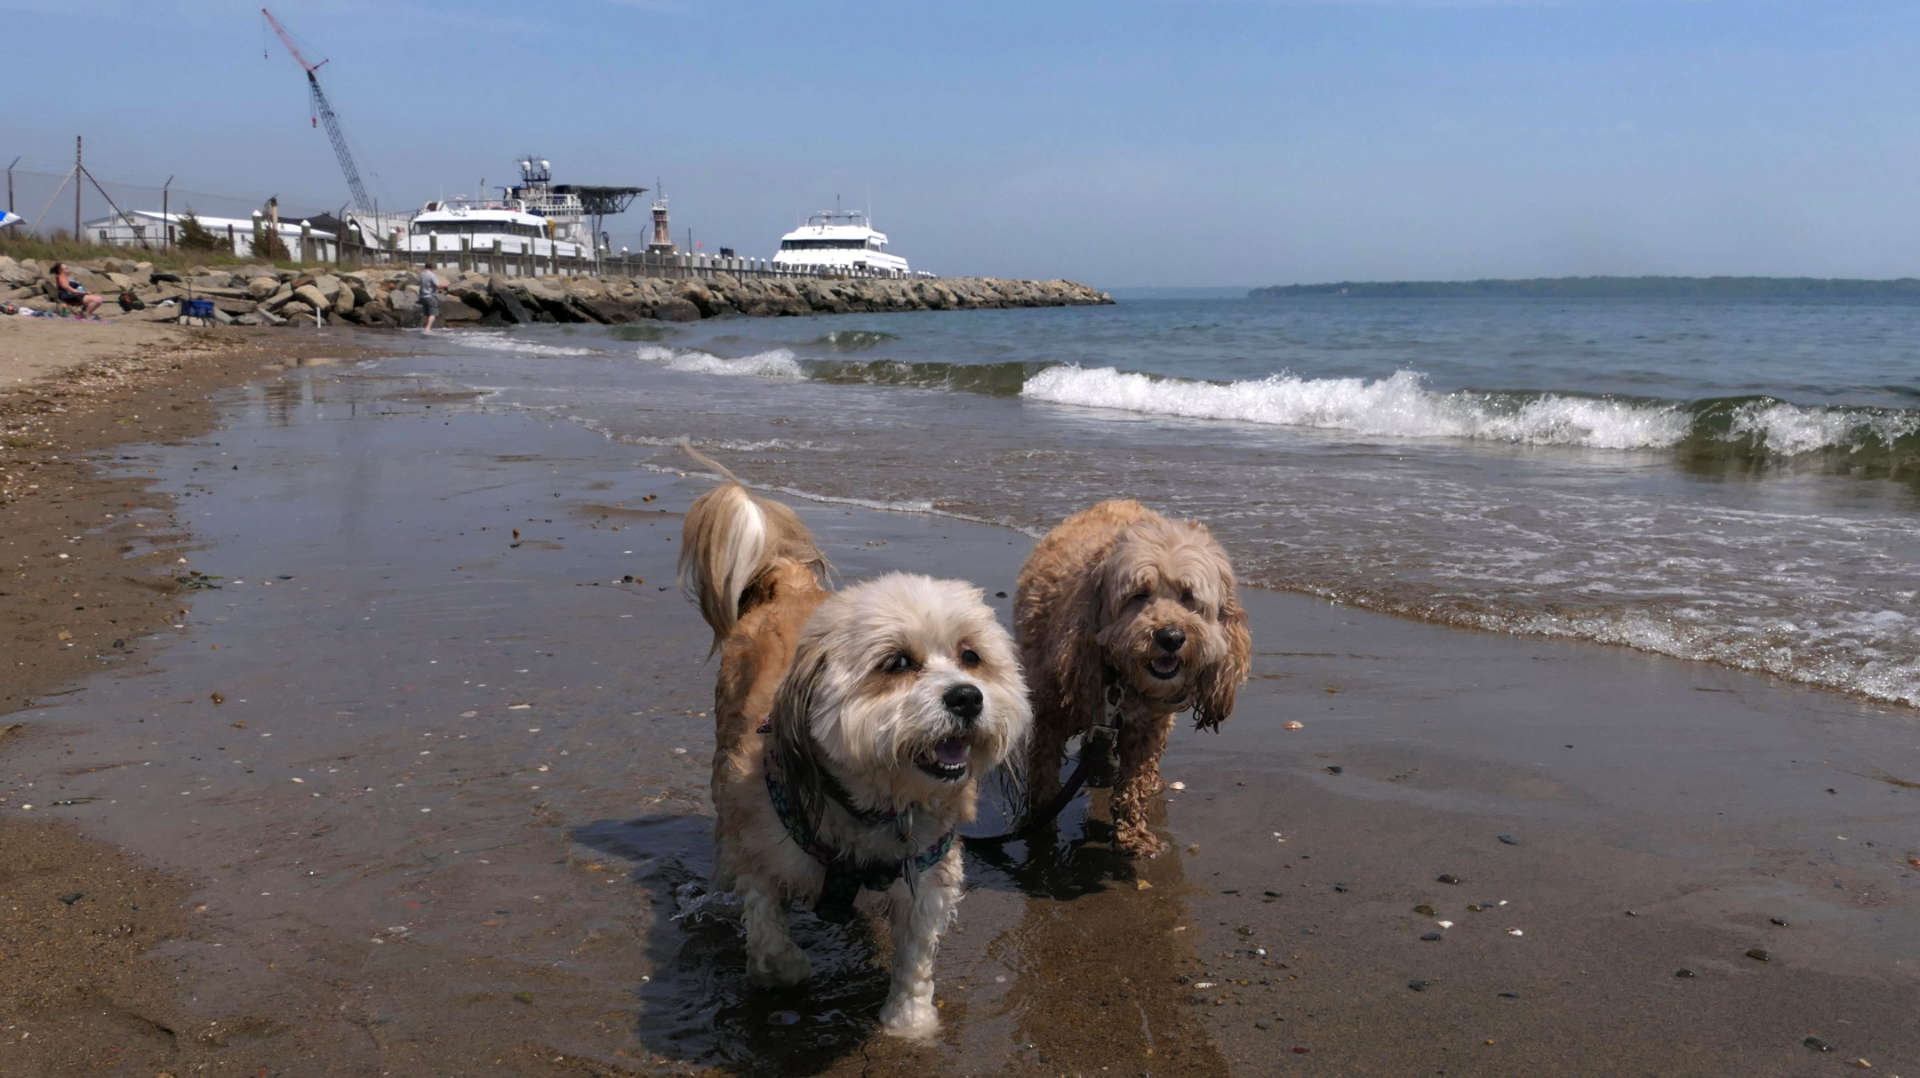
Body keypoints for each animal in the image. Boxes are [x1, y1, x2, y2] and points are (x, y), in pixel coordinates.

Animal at [679, 447, 1036, 1037]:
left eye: (971, 656)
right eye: (897, 663)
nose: (967, 698)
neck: (872, 808)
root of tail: (790, 582)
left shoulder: (927, 877)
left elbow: (916, 957)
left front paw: (909, 1020)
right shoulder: (762, 852)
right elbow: (771, 943)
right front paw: (791, 969)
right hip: (722, 767)